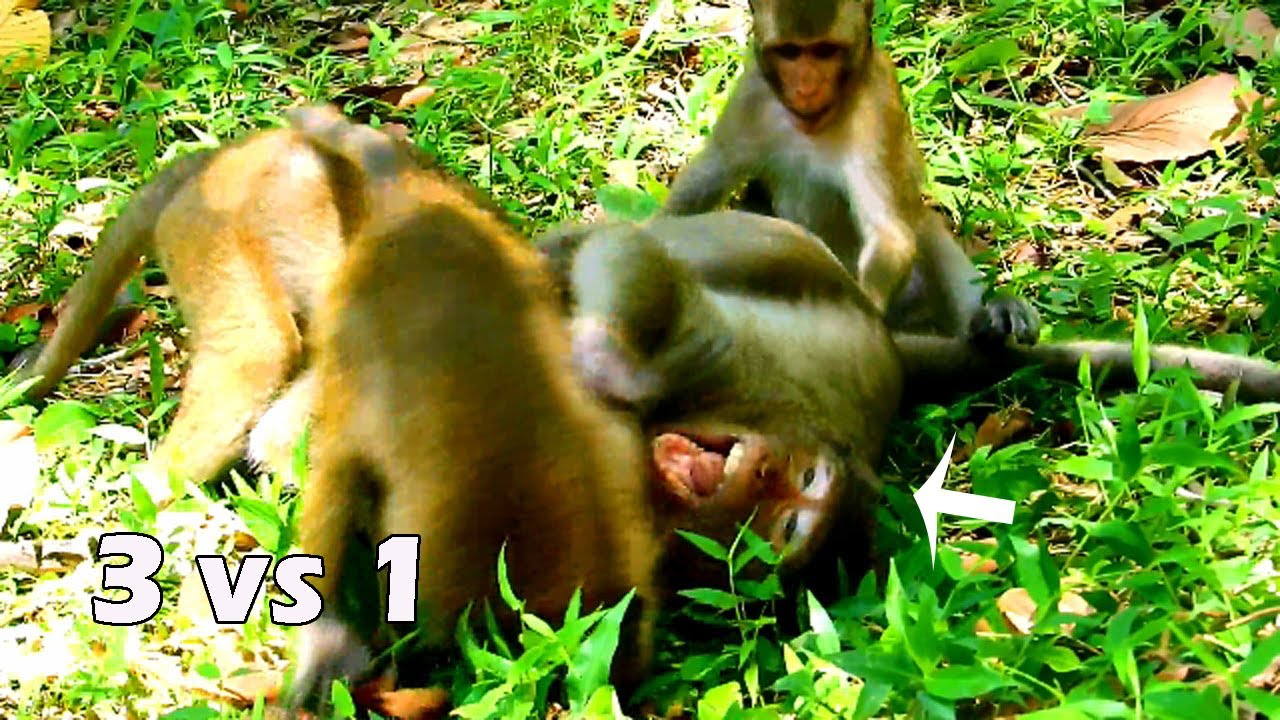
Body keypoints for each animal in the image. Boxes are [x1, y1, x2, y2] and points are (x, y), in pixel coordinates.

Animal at [662, 0, 1041, 348]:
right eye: (789, 52)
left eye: (825, 50)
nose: (806, 86)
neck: (812, 123)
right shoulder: (751, 93)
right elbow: (703, 182)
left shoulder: (876, 107)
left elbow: (890, 232)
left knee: (926, 229)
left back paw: (993, 314)